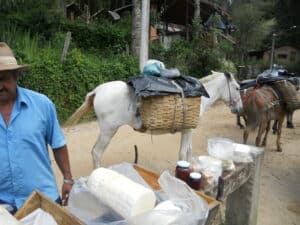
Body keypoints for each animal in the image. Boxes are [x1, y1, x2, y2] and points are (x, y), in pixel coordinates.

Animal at [65, 71, 241, 168]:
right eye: (238, 88)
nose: (239, 109)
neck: (199, 96)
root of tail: (97, 90)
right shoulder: (188, 130)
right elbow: (183, 153)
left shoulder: (188, 129)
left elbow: (189, 151)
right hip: (108, 131)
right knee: (96, 153)